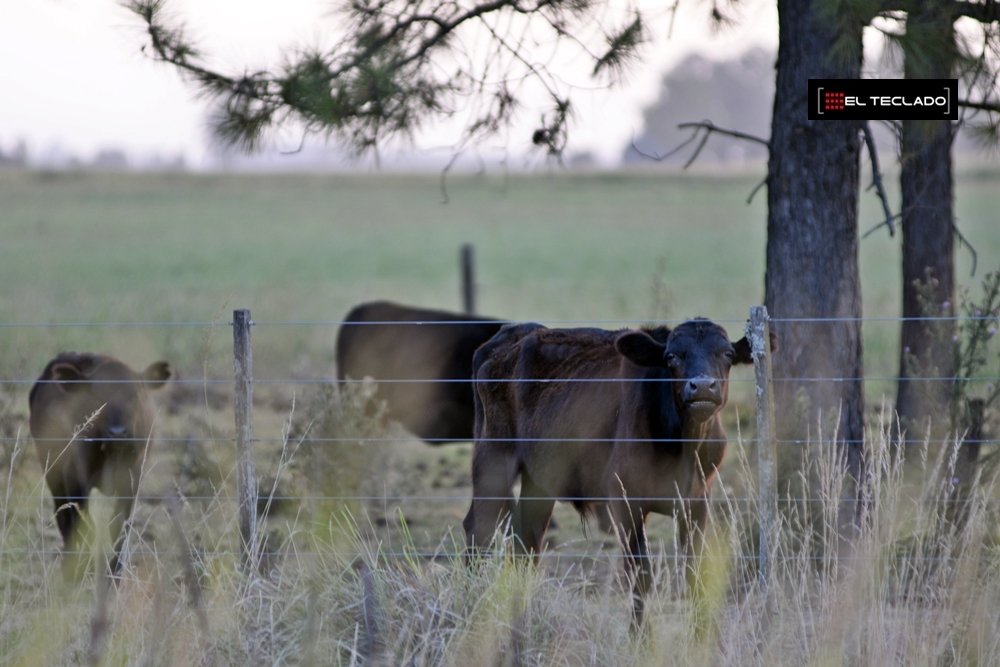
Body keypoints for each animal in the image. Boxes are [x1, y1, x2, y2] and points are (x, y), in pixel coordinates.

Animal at [28, 352, 171, 576]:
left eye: (134, 395)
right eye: (97, 396)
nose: (118, 432)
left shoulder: (132, 481)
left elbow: (119, 526)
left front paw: (115, 572)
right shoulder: (76, 481)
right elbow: (83, 525)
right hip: (53, 474)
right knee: (63, 518)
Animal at [462, 318, 772, 628]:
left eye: (727, 354)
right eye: (671, 356)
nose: (703, 386)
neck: (684, 445)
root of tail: (511, 333)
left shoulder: (697, 500)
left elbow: (694, 572)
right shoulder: (624, 499)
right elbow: (640, 576)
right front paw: (641, 638)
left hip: (541, 479)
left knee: (526, 540)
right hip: (493, 456)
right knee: (480, 528)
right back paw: (473, 607)